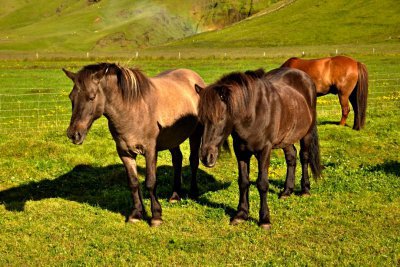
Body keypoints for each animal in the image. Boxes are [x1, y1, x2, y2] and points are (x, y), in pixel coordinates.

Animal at [63, 63, 206, 228]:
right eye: (71, 97)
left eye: (91, 97)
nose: (74, 134)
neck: (133, 110)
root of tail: (195, 78)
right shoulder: (125, 153)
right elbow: (133, 183)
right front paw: (136, 214)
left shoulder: (150, 151)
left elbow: (150, 182)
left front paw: (156, 216)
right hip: (173, 138)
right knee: (177, 159)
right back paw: (175, 195)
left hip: (196, 133)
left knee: (193, 160)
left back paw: (193, 192)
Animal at [195, 67, 324, 230]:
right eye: (201, 119)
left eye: (220, 118)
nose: (206, 157)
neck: (253, 114)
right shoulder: (241, 152)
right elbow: (243, 181)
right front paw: (241, 214)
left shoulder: (264, 151)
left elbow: (262, 184)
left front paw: (264, 220)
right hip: (286, 137)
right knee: (291, 157)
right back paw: (287, 191)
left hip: (306, 133)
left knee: (304, 157)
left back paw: (305, 190)